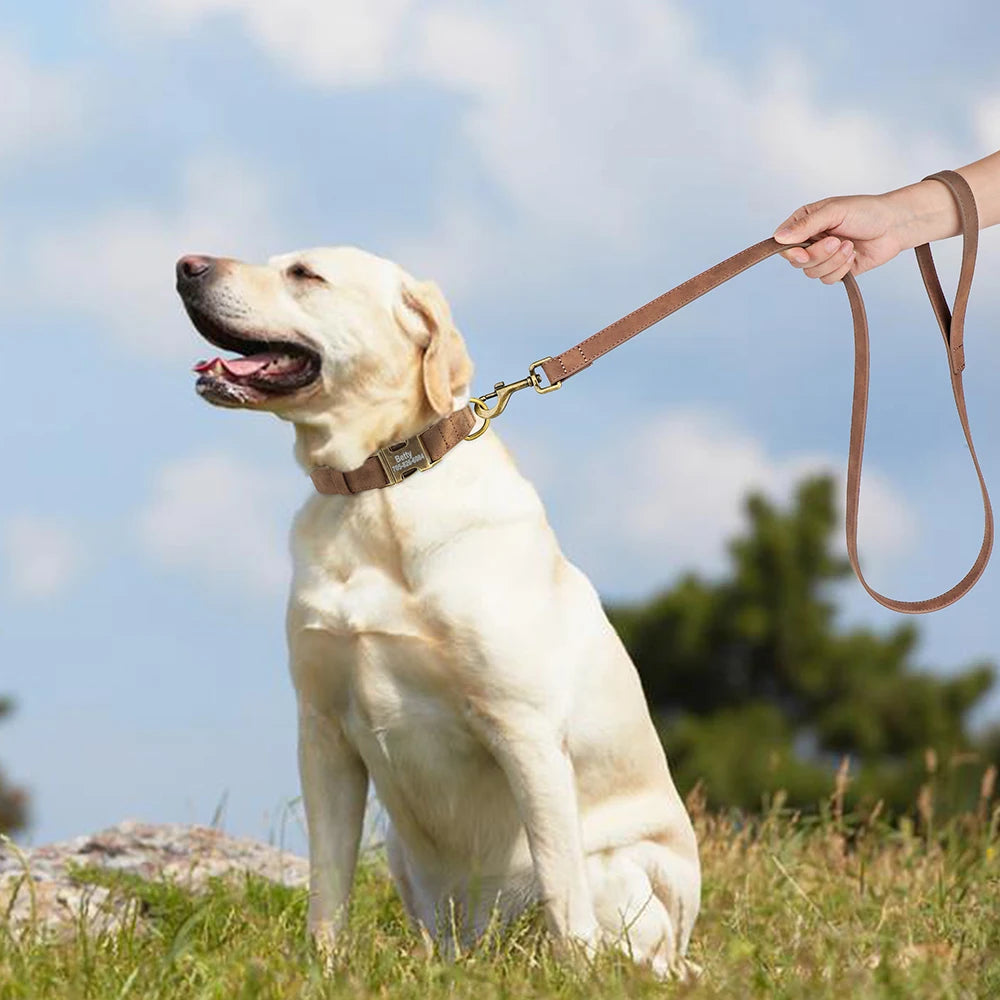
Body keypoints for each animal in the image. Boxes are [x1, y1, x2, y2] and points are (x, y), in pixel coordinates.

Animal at [174, 246, 704, 972]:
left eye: (304, 274)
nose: (185, 265)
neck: (374, 489)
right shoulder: (322, 729)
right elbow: (328, 884)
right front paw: (324, 969)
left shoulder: (523, 728)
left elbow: (559, 882)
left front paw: (577, 975)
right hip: (404, 855)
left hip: (620, 871)